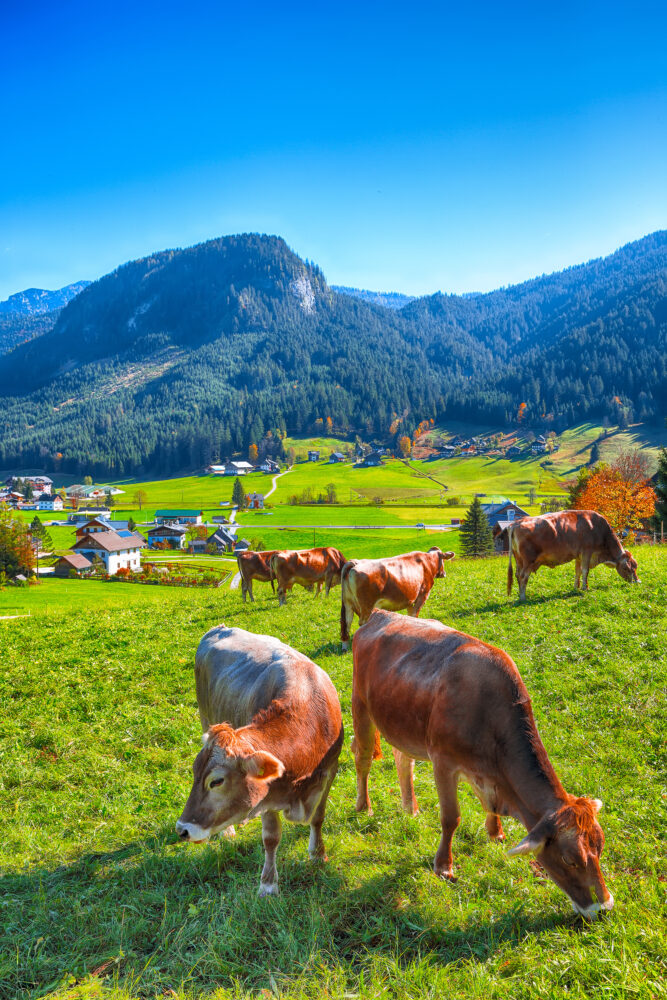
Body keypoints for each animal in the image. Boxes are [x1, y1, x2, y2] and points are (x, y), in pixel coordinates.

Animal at [176, 624, 344, 900]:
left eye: (216, 781)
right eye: (194, 773)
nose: (182, 829)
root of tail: (219, 629)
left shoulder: (330, 772)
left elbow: (318, 817)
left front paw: (318, 855)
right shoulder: (267, 794)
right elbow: (271, 838)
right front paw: (268, 885)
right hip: (205, 715)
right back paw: (228, 833)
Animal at [354, 604, 616, 916]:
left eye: (600, 847)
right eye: (569, 859)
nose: (604, 907)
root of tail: (380, 614)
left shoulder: (485, 772)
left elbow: (488, 805)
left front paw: (496, 833)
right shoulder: (443, 761)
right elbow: (451, 817)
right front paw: (444, 867)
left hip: (403, 722)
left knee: (403, 759)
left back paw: (411, 808)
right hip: (360, 705)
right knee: (363, 759)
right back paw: (364, 806)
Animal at [506, 512, 640, 596]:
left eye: (635, 567)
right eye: (626, 568)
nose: (638, 582)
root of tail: (516, 523)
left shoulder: (578, 556)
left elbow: (578, 571)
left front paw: (576, 587)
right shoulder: (587, 551)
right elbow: (585, 571)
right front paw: (585, 588)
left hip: (519, 560)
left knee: (517, 575)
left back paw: (519, 595)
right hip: (528, 561)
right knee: (523, 576)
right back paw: (523, 597)